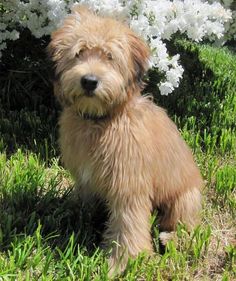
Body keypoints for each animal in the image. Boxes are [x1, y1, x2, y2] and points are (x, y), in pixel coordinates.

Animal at [48, 5, 203, 274]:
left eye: (110, 57)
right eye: (79, 53)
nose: (89, 81)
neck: (101, 121)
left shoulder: (129, 185)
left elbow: (128, 225)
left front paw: (123, 262)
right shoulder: (86, 179)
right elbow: (84, 203)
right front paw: (71, 219)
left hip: (187, 198)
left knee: (186, 226)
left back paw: (169, 237)